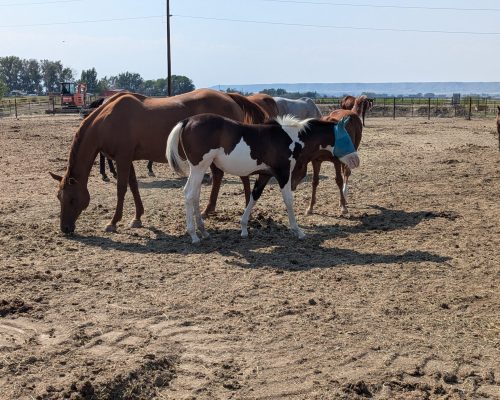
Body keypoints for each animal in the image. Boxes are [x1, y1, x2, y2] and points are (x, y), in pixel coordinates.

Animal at [50, 88, 268, 233]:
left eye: (71, 199)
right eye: (59, 198)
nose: (65, 228)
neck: (107, 118)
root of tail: (229, 97)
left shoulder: (122, 158)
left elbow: (121, 188)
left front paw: (113, 221)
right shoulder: (127, 158)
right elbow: (133, 185)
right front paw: (137, 217)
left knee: (241, 177)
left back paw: (245, 207)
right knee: (218, 176)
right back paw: (208, 210)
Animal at [167, 113, 360, 244]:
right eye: (346, 138)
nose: (356, 160)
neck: (290, 138)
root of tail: (187, 121)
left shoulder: (265, 175)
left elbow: (254, 197)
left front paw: (244, 228)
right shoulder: (283, 174)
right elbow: (288, 200)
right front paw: (298, 231)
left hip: (199, 169)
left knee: (194, 195)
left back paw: (203, 231)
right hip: (199, 167)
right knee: (189, 194)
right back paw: (194, 235)